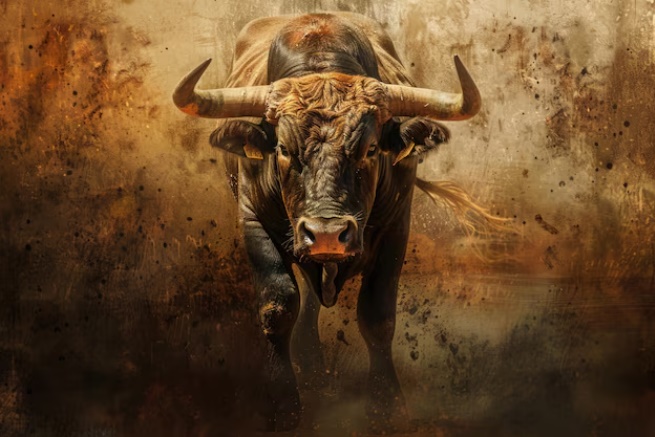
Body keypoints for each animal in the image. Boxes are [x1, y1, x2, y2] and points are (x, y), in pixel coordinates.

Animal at [173, 12, 481, 432]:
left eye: (370, 148)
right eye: (283, 149)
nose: (327, 234)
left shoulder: (396, 227)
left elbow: (378, 316)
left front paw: (385, 405)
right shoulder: (252, 221)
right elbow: (278, 305)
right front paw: (283, 406)